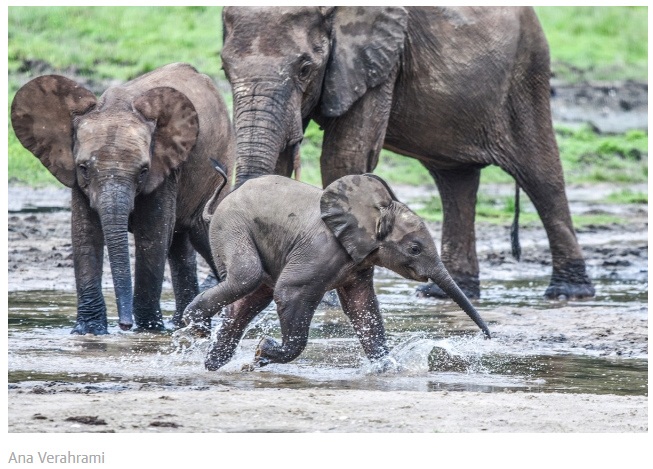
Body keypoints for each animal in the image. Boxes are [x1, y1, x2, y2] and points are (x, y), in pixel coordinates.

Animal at [11, 63, 234, 332]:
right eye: (83, 167)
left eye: (143, 171)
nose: (124, 325)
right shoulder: (77, 179)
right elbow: (85, 233)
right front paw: (89, 331)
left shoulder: (164, 169)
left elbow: (152, 236)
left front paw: (148, 330)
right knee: (181, 245)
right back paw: (184, 325)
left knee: (205, 232)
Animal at [183, 172, 488, 370]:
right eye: (415, 249)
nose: (487, 338)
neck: (376, 211)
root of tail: (221, 204)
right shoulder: (321, 250)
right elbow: (291, 292)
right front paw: (262, 352)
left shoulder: (359, 260)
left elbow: (361, 305)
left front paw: (386, 368)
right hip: (231, 225)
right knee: (247, 277)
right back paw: (194, 326)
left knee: (252, 296)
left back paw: (212, 363)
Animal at [222, 5, 592, 300]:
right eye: (224, 69)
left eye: (305, 68)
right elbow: (281, 159)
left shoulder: (376, 62)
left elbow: (343, 155)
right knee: (455, 181)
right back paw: (442, 293)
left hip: (526, 67)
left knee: (539, 173)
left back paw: (567, 291)